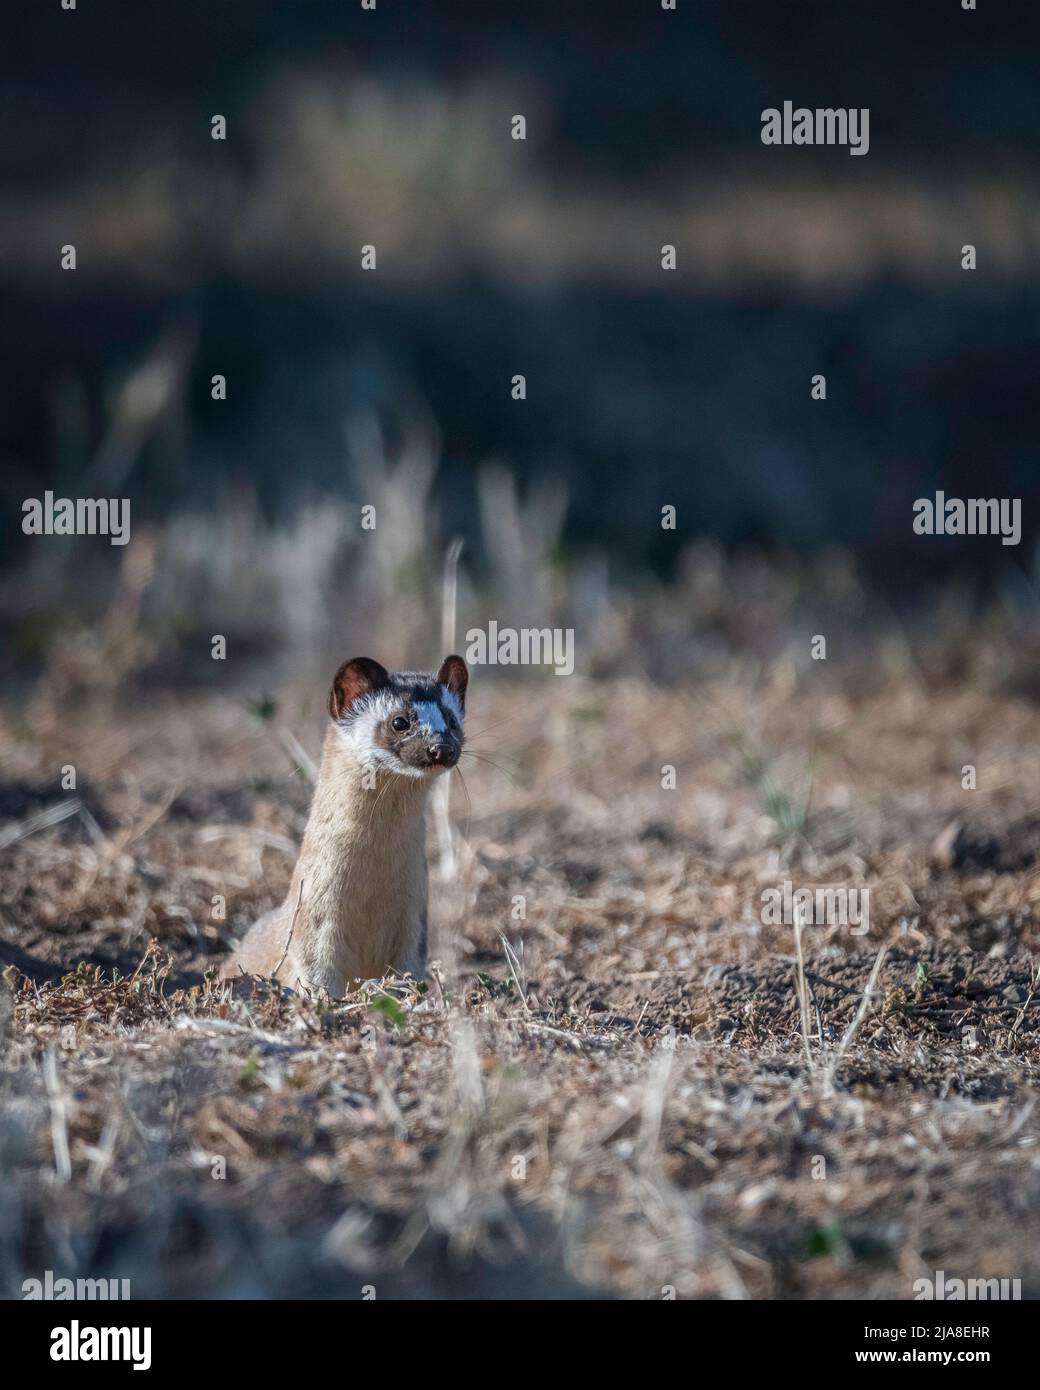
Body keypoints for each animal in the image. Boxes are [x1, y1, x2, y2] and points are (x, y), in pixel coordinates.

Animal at [222, 653, 467, 995]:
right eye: (399, 721)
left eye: (453, 720)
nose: (441, 748)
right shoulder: (313, 921)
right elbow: (316, 973)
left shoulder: (415, 920)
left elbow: (409, 971)